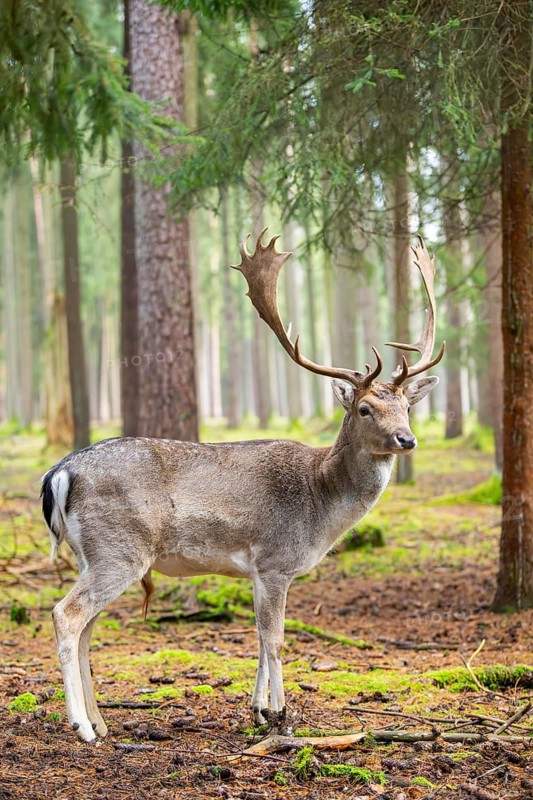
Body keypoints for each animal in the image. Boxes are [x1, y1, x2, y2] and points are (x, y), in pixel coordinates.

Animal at [42, 230, 444, 743]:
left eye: (407, 408)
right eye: (364, 408)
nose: (406, 440)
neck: (320, 504)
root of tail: (60, 472)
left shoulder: (256, 572)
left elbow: (256, 636)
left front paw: (256, 710)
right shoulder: (275, 561)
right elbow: (275, 640)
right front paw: (282, 715)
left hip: (92, 553)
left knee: (87, 627)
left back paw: (100, 721)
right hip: (120, 550)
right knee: (66, 615)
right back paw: (82, 726)